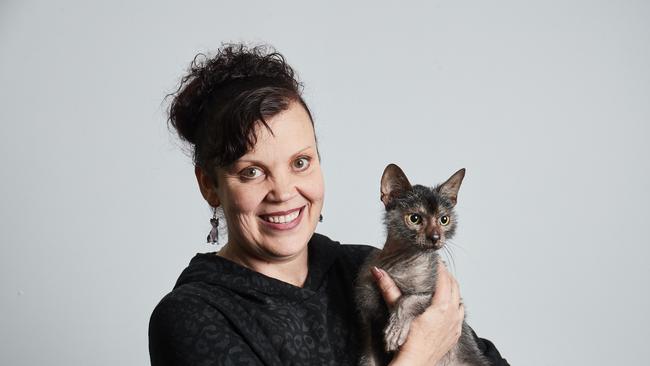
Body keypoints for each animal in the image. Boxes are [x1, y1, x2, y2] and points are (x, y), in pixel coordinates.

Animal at [354, 164, 486, 366]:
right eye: (414, 218)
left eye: (444, 220)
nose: (435, 237)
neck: (400, 262)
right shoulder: (368, 317)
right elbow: (369, 354)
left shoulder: (440, 297)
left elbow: (408, 300)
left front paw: (395, 330)